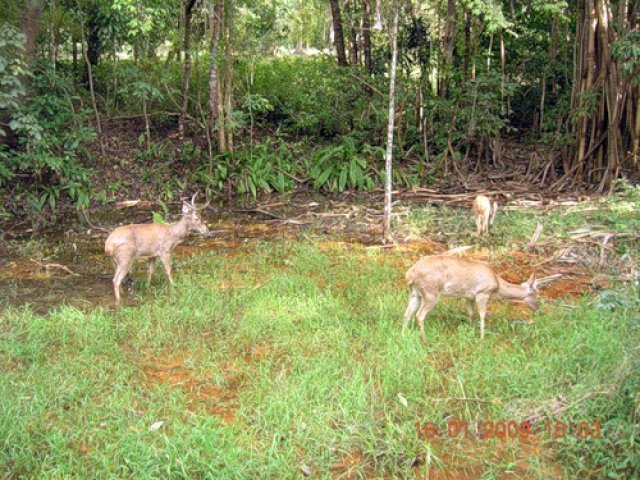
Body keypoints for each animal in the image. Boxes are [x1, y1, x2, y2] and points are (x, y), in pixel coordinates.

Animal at [404, 255, 560, 342]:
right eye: (536, 294)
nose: (538, 309)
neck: (497, 285)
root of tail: (410, 273)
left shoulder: (469, 297)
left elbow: (471, 313)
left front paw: (470, 330)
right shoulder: (482, 293)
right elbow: (483, 315)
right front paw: (482, 338)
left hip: (415, 293)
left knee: (407, 313)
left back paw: (403, 333)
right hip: (431, 291)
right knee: (419, 315)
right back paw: (424, 339)